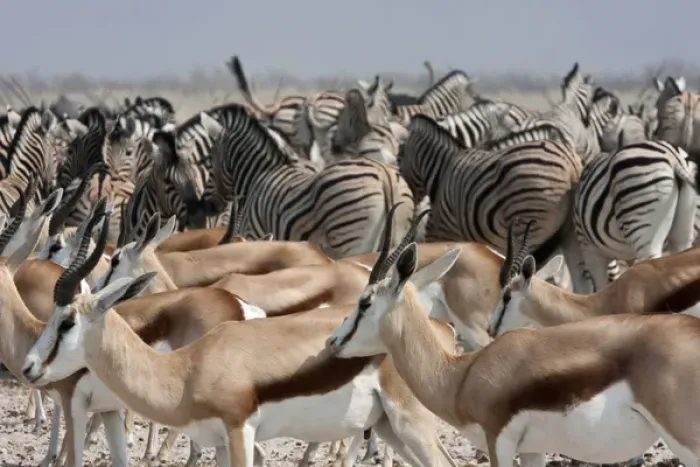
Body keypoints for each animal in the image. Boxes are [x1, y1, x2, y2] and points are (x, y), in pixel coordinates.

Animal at [196, 104, 416, 259]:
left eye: (210, 159)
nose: (206, 205)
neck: (256, 176)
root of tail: (384, 176)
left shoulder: (254, 234)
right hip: (395, 239)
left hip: (351, 243)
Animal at [398, 114, 582, 277]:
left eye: (399, 155)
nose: (411, 201)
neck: (443, 172)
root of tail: (570, 165)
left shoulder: (443, 230)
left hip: (527, 229)